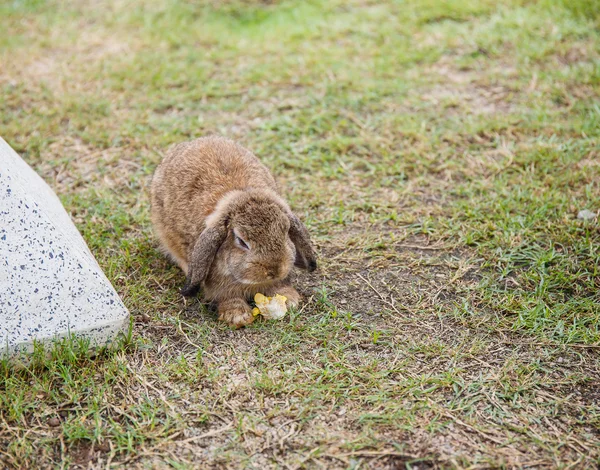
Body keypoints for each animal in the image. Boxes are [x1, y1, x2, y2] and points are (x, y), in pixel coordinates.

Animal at [150, 135, 318, 326]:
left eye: (286, 231)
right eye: (241, 241)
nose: (274, 270)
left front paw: (288, 299)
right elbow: (227, 297)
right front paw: (237, 316)